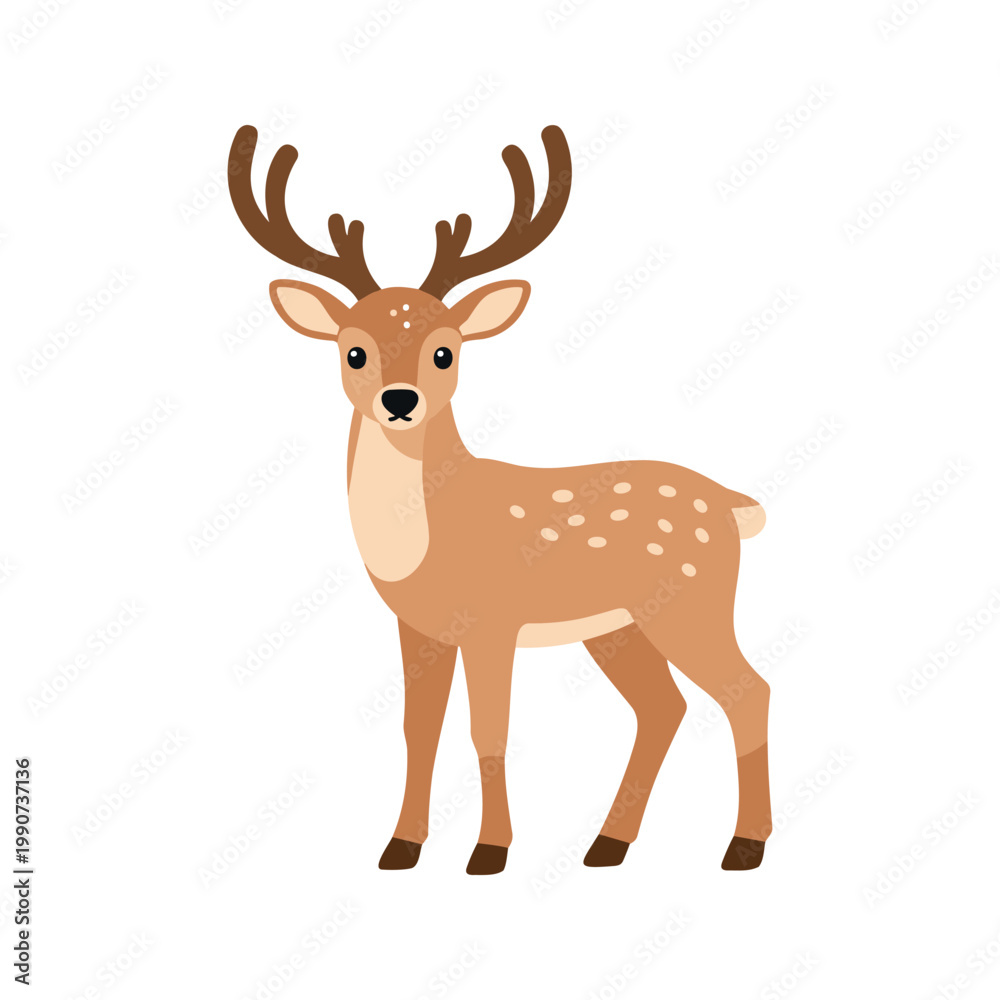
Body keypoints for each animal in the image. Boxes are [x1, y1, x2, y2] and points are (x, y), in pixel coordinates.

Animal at [228, 123, 772, 875]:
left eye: (446, 351)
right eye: (354, 351)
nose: (401, 401)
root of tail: (733, 505)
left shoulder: (493, 621)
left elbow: (489, 729)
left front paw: (489, 852)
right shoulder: (420, 627)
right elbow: (418, 728)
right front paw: (400, 847)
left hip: (693, 599)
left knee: (748, 691)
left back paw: (743, 847)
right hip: (618, 626)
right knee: (663, 708)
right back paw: (607, 845)